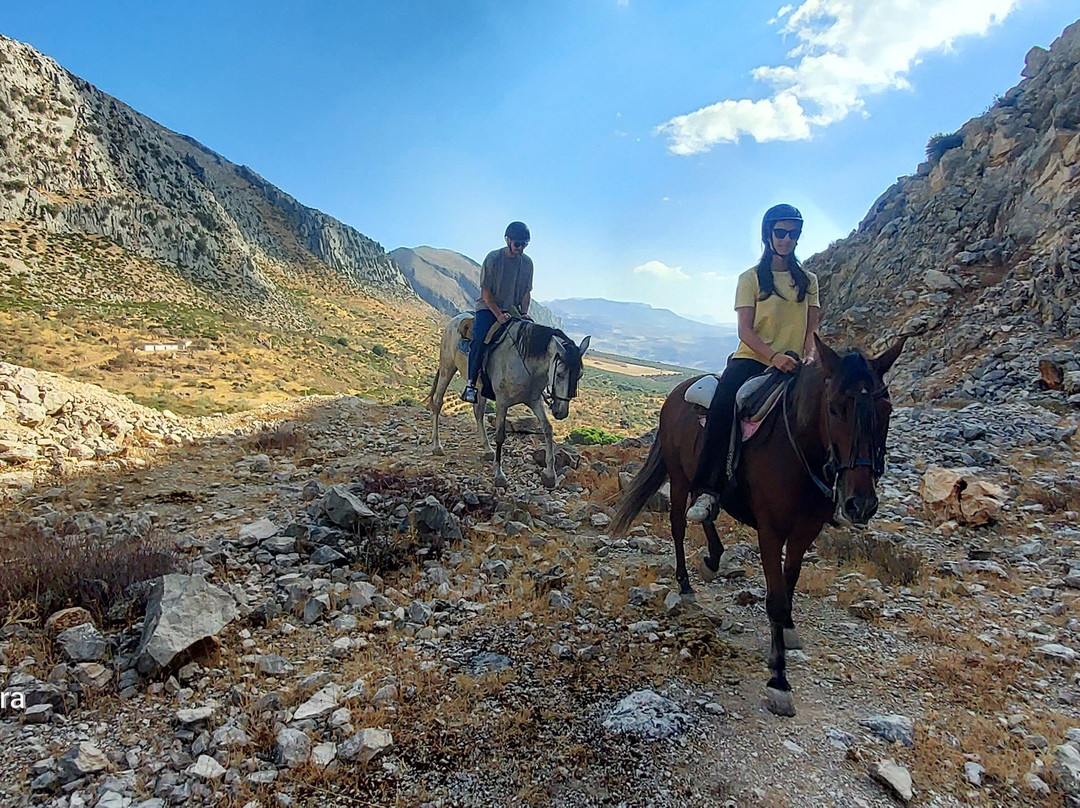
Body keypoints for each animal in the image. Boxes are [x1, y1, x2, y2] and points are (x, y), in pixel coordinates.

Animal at [425, 313, 590, 489]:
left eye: (579, 375)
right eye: (559, 374)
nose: (561, 412)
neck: (525, 362)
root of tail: (456, 319)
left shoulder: (534, 401)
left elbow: (547, 428)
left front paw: (550, 474)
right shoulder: (502, 402)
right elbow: (500, 436)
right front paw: (499, 475)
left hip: (480, 387)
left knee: (478, 413)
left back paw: (487, 450)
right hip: (447, 368)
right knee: (438, 403)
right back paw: (437, 446)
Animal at [612, 332, 905, 716]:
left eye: (886, 410)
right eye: (834, 408)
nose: (861, 504)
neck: (798, 448)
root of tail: (679, 389)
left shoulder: (806, 530)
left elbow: (790, 581)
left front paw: (789, 630)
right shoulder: (771, 531)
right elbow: (776, 598)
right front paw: (779, 681)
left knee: (705, 507)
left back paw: (713, 558)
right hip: (678, 476)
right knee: (678, 524)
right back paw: (686, 585)